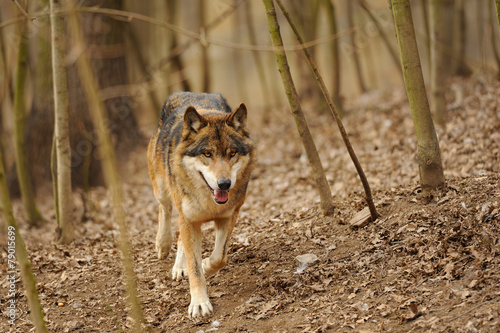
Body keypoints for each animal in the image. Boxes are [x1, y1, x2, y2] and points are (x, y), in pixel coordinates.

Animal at [145, 91, 254, 316]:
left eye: (232, 153)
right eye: (207, 154)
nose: (224, 183)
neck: (210, 203)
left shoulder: (228, 216)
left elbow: (219, 257)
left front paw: (205, 265)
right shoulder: (188, 220)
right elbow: (194, 268)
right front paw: (199, 304)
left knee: (180, 237)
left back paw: (179, 266)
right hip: (162, 190)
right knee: (164, 210)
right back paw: (163, 245)